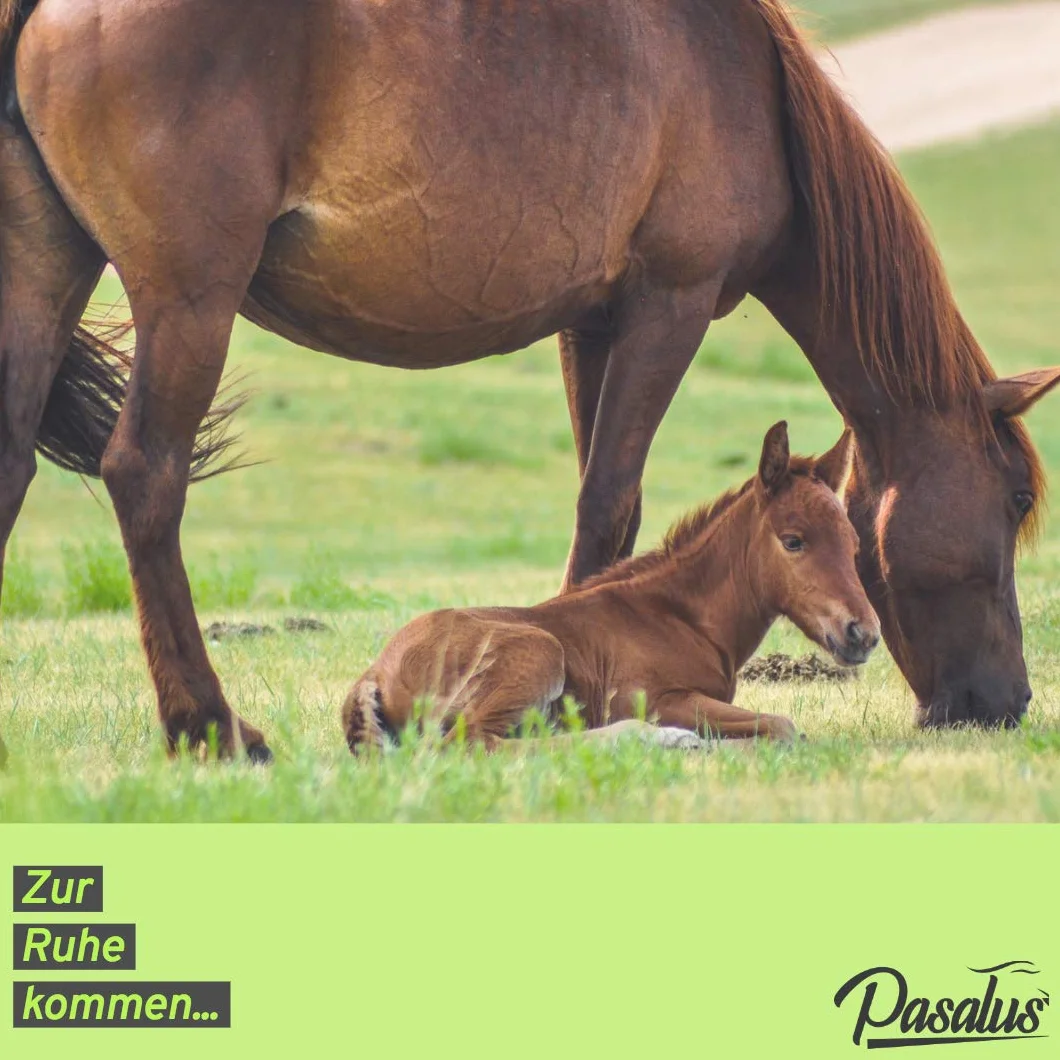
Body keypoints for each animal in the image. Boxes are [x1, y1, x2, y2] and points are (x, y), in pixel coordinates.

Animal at [343, 422, 880, 751]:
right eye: (793, 541)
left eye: (854, 543)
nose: (864, 634)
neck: (680, 617)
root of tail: (374, 673)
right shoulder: (657, 698)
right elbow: (783, 726)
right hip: (538, 653)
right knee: (479, 743)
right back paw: (657, 740)